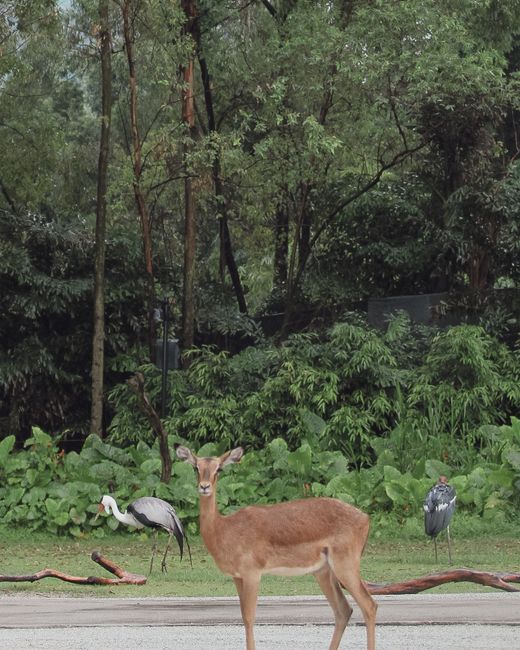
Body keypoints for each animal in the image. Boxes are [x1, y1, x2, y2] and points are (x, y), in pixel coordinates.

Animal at [176, 445, 377, 650]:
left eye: (219, 469)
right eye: (196, 467)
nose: (204, 487)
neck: (224, 529)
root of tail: (365, 518)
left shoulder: (252, 574)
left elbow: (249, 618)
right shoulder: (237, 577)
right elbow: (243, 616)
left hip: (345, 567)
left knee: (369, 605)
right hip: (323, 571)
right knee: (344, 610)